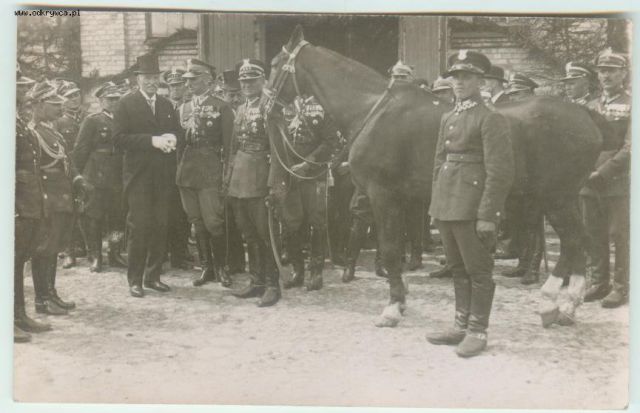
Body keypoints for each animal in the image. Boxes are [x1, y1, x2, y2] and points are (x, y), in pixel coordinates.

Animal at [263, 25, 605, 327]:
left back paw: (553, 302)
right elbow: (394, 247)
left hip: (557, 199)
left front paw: (392, 308)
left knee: (576, 241)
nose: (266, 109)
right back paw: (566, 306)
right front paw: (400, 297)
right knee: (580, 242)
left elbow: (390, 248)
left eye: (275, 64)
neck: (370, 109)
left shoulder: (381, 194)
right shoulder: (397, 199)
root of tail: (586, 116)